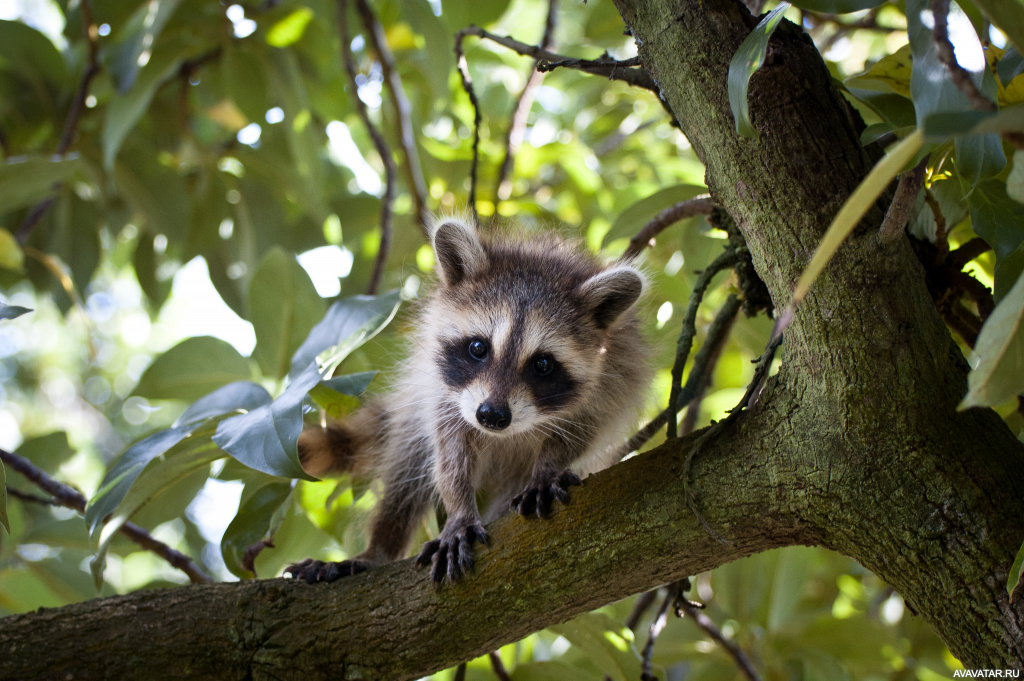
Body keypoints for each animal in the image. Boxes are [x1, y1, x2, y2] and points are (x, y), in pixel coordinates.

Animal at [284, 218, 651, 585]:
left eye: (543, 364)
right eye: (478, 348)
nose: (492, 416)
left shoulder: (613, 379)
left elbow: (583, 429)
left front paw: (550, 464)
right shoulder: (446, 392)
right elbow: (450, 450)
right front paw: (459, 509)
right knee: (407, 468)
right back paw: (380, 547)